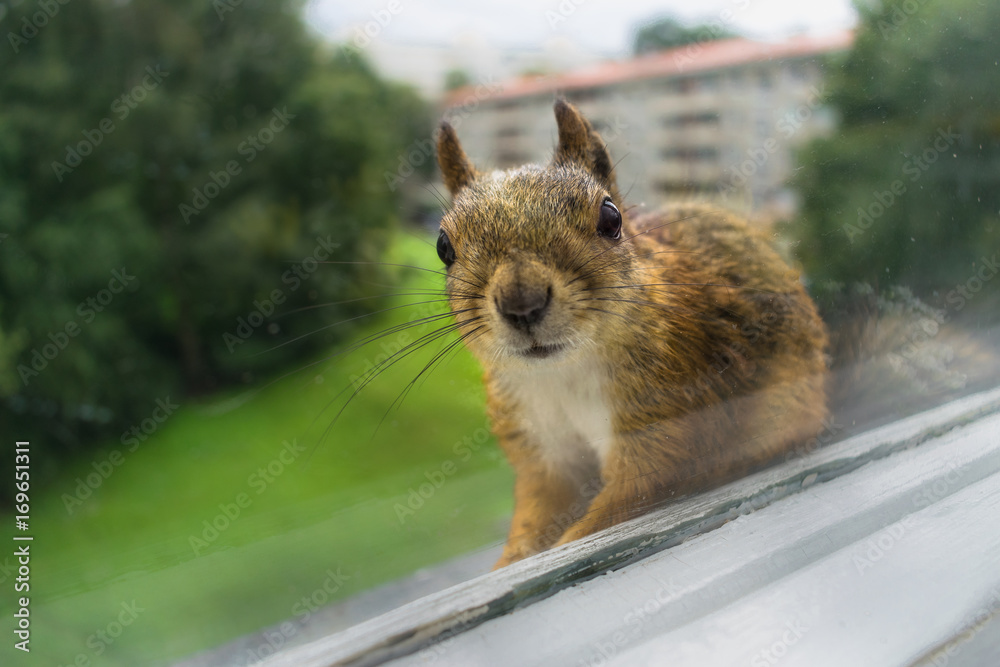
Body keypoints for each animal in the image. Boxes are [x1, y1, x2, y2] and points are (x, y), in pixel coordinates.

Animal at [432, 99, 828, 568]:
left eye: (610, 218)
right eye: (443, 247)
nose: (522, 303)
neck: (563, 372)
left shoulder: (671, 407)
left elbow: (636, 489)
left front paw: (570, 543)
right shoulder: (540, 447)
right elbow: (538, 510)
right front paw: (511, 562)